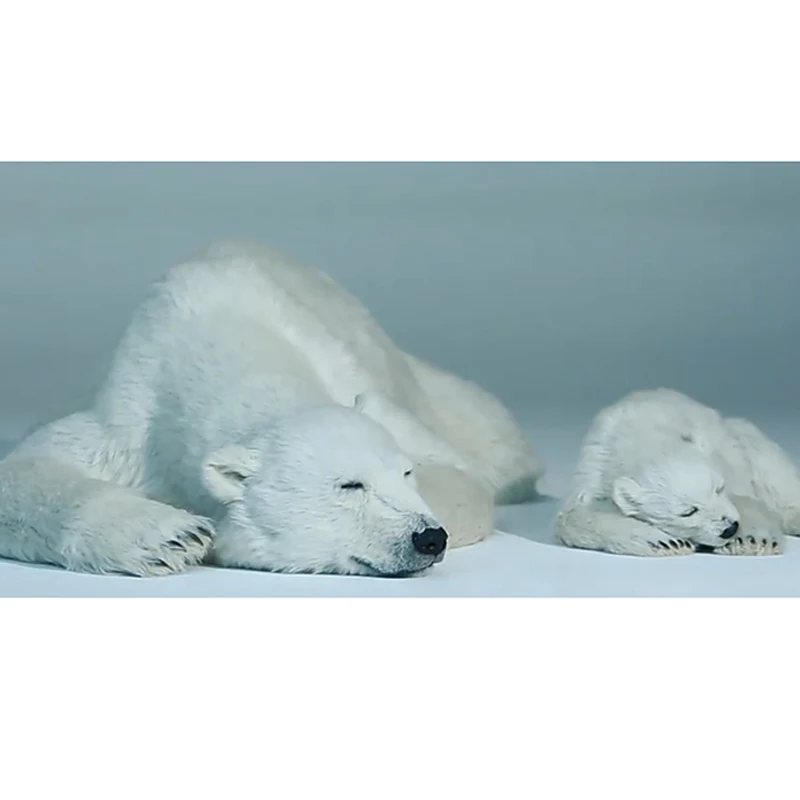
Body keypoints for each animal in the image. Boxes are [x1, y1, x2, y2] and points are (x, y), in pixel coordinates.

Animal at [0, 240, 543, 577]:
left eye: (406, 474)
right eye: (350, 485)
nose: (428, 538)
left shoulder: (355, 378)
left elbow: (462, 479)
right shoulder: (132, 408)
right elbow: (25, 469)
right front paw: (171, 537)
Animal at [554, 388, 800, 557]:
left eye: (719, 489)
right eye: (688, 512)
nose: (729, 529)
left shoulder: (727, 458)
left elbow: (749, 502)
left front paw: (752, 541)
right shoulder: (592, 472)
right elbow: (572, 517)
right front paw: (666, 543)